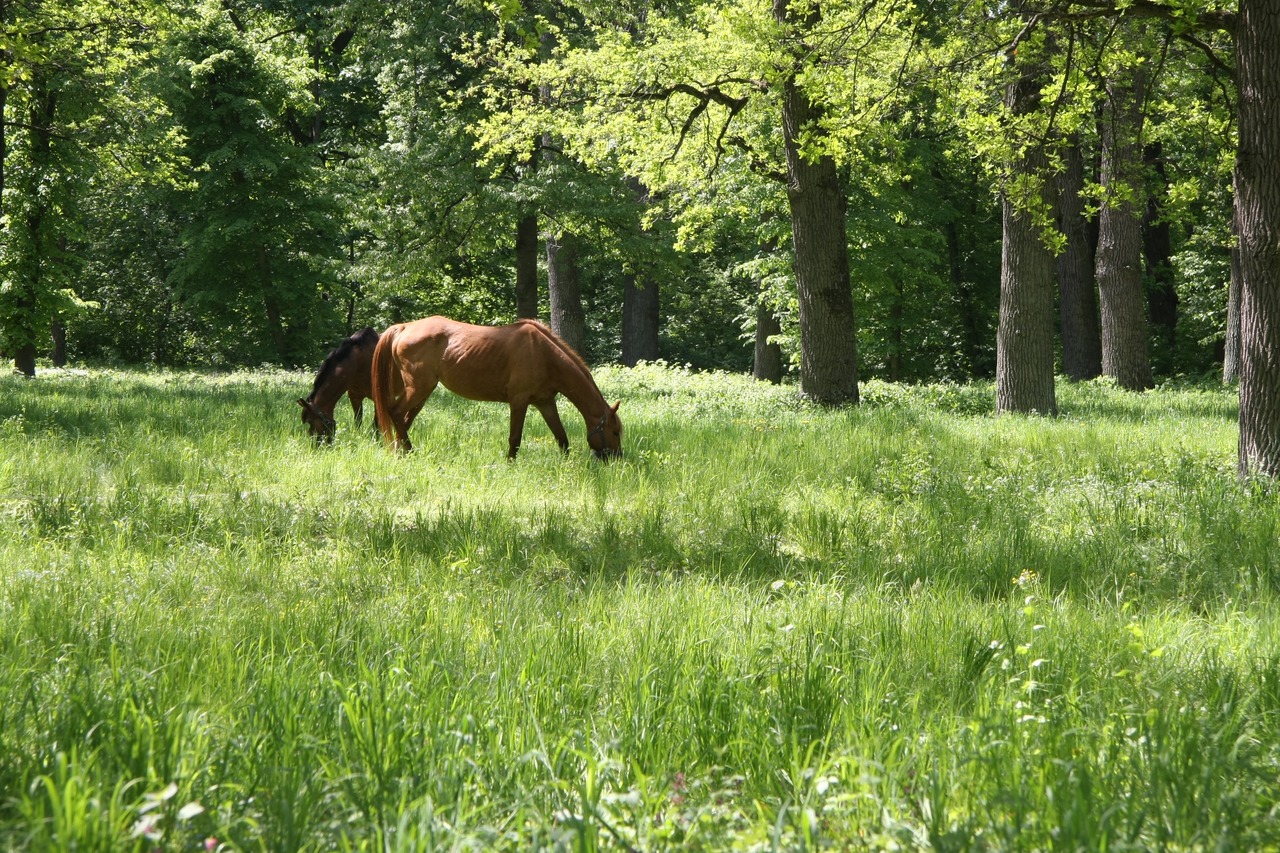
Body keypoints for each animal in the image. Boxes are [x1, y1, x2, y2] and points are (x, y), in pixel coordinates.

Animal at [370, 316, 622, 460]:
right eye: (615, 432)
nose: (616, 459)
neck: (543, 354)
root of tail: (405, 328)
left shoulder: (545, 402)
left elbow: (561, 437)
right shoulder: (519, 402)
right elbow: (515, 439)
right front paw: (510, 464)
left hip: (422, 392)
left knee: (403, 419)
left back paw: (402, 452)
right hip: (419, 389)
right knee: (396, 412)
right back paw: (409, 451)